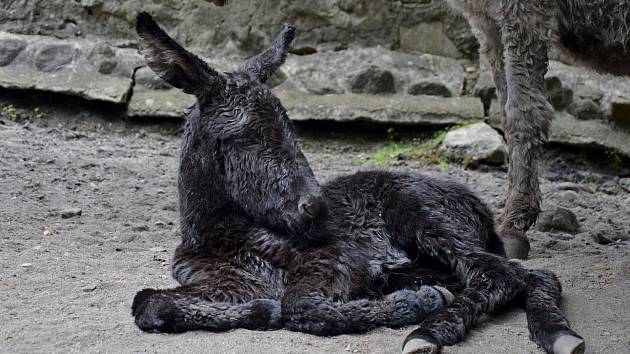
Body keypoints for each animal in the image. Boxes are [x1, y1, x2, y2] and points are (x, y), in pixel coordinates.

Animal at [130, 12, 588, 354]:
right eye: (246, 136)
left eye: (288, 127)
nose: (314, 209)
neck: (222, 235)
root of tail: (476, 206)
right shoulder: (222, 283)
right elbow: (148, 303)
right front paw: (263, 310)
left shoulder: (340, 261)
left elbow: (299, 307)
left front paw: (414, 304)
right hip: (428, 260)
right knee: (528, 276)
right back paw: (553, 333)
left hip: (421, 218)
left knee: (504, 274)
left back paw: (431, 329)